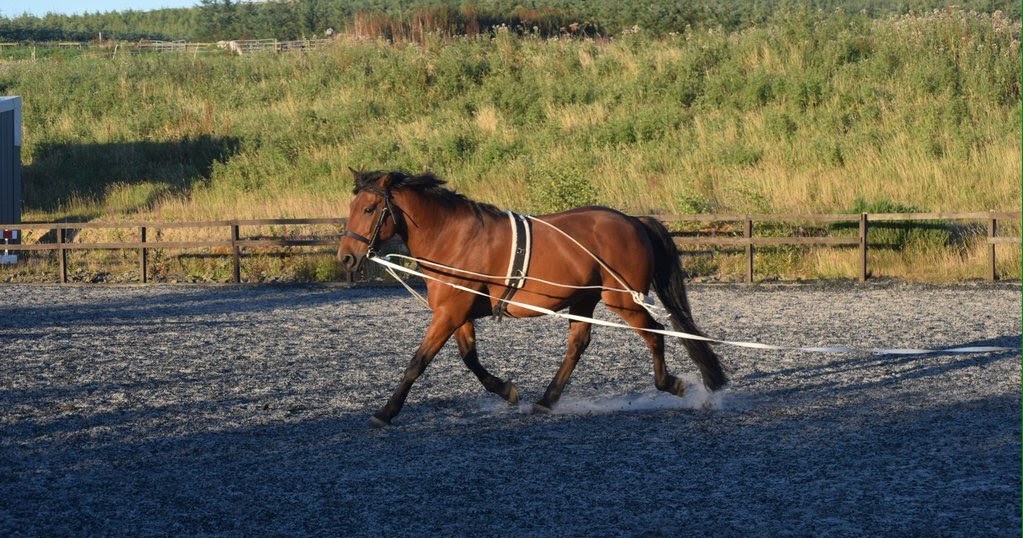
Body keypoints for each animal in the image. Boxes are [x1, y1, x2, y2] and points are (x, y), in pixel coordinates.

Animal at [338, 169, 728, 426]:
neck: (453, 237)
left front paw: (386, 412)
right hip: (584, 300)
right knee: (578, 344)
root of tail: (633, 221)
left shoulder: (449, 313)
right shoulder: (458, 314)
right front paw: (507, 390)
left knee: (655, 333)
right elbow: (470, 359)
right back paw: (547, 399)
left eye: (369, 209)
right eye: (352, 207)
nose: (346, 258)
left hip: (623, 301)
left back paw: (670, 384)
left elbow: (418, 362)